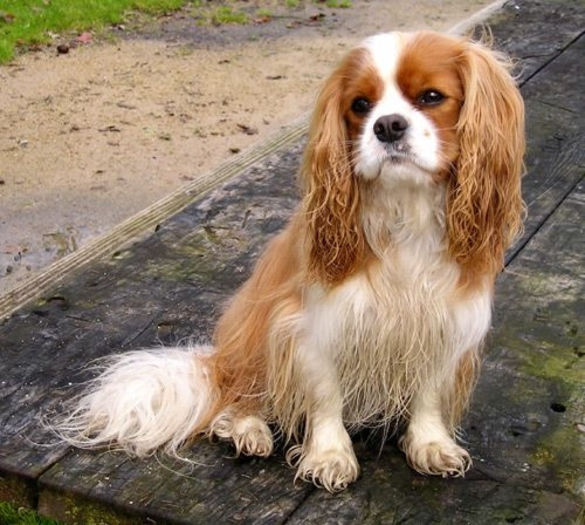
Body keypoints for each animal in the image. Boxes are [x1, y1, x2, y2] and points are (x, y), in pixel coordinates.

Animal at [56, 31, 524, 492]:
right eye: (360, 105)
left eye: (431, 96)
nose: (387, 125)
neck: (403, 211)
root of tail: (219, 362)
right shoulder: (310, 325)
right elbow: (326, 395)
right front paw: (330, 455)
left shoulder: (445, 322)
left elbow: (428, 391)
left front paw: (430, 443)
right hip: (254, 334)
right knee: (238, 397)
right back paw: (247, 429)